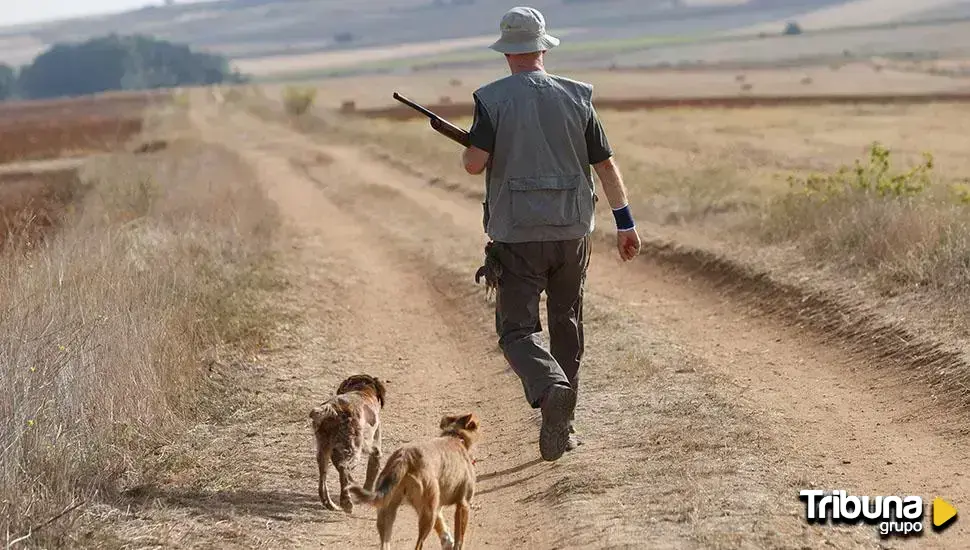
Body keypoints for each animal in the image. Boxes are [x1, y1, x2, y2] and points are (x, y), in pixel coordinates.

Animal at [310, 374, 386, 516]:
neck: (362, 389)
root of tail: (332, 409)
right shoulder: (375, 450)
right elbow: (370, 476)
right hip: (354, 449)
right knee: (343, 468)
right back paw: (346, 502)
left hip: (323, 452)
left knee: (323, 481)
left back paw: (331, 504)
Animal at [352, 414, 480, 550]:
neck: (455, 437)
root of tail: (405, 457)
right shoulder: (463, 504)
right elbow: (459, 539)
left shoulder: (438, 506)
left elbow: (443, 527)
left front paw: (447, 541)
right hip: (428, 515)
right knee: (418, 545)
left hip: (387, 513)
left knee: (385, 544)